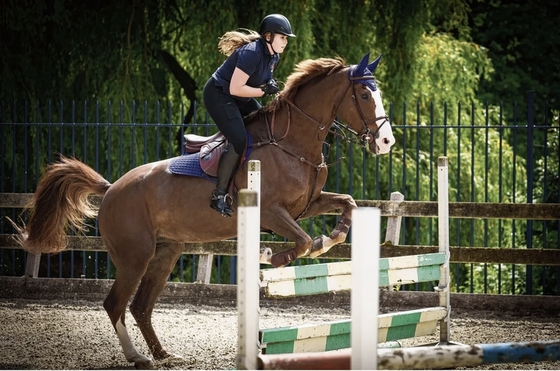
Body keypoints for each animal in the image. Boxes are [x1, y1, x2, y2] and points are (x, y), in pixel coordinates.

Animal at [8, 52, 394, 370]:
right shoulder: (272, 212)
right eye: (363, 95)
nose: (386, 141)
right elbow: (303, 243)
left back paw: (163, 355)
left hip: (166, 252)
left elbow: (347, 203)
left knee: (140, 306)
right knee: (115, 304)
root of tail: (112, 188)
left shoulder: (307, 204)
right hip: (135, 256)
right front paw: (272, 256)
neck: (292, 142)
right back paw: (138, 357)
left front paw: (334, 236)